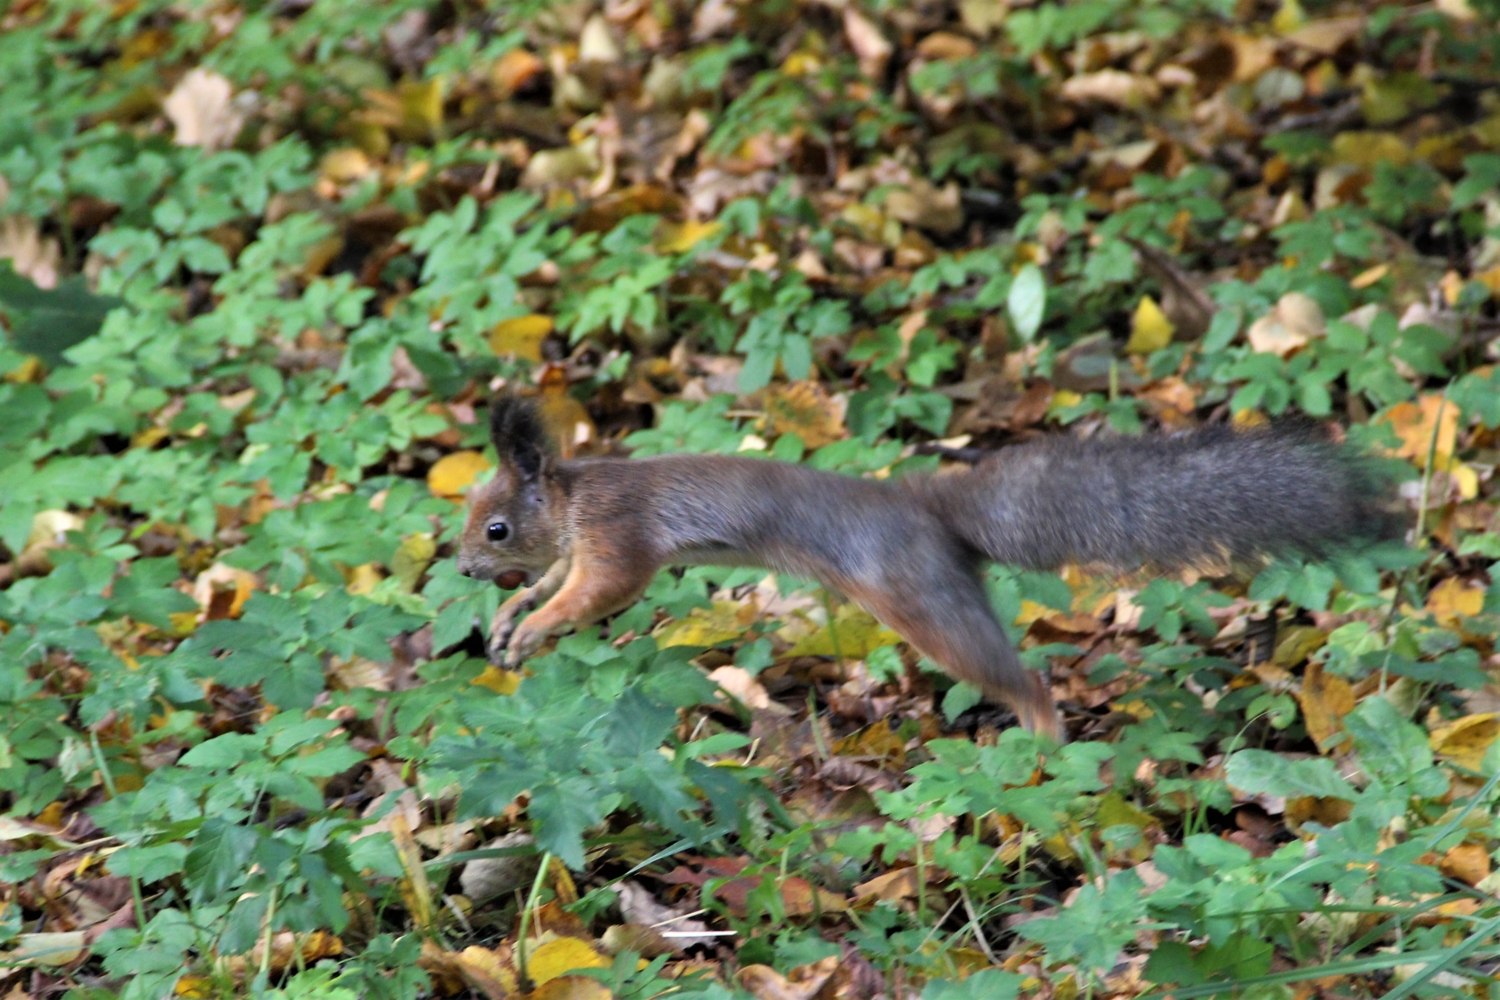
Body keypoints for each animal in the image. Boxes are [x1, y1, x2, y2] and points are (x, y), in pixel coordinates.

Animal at [450, 395, 1398, 743]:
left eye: (495, 526)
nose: (460, 568)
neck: (573, 497)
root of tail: (926, 511)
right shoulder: (581, 547)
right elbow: (559, 584)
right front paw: (512, 620)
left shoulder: (617, 538)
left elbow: (603, 592)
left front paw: (530, 628)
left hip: (920, 599)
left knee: (1020, 679)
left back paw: (1042, 744)